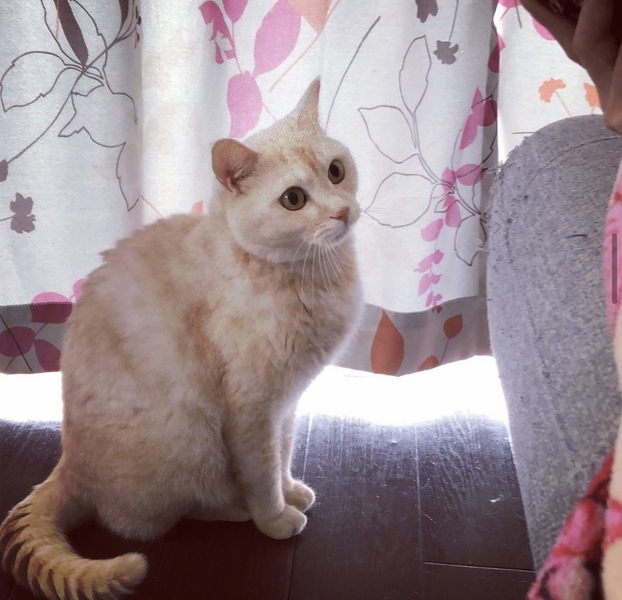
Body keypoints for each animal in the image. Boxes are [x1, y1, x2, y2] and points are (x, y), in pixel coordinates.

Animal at [0, 79, 362, 600]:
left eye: (336, 171)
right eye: (293, 199)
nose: (342, 210)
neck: (310, 276)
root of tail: (68, 465)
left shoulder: (288, 401)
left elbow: (284, 453)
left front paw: (291, 488)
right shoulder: (253, 407)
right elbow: (262, 472)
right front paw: (275, 516)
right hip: (190, 437)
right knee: (151, 520)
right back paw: (237, 510)